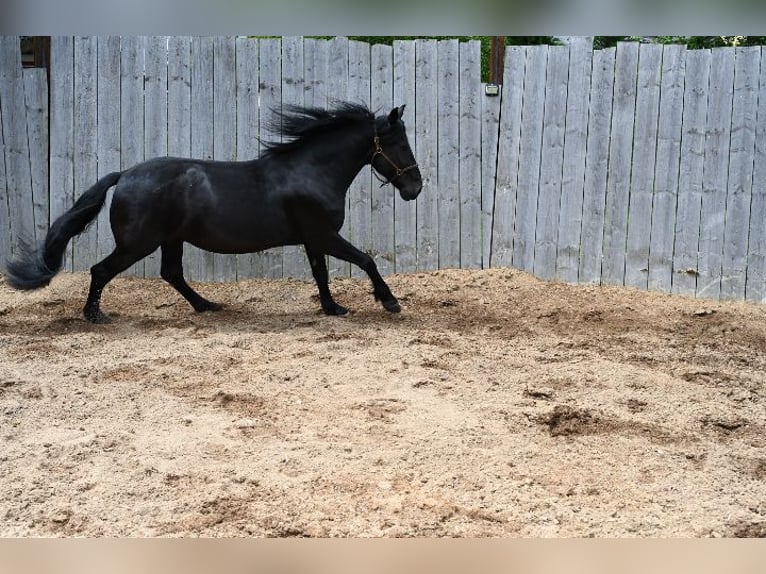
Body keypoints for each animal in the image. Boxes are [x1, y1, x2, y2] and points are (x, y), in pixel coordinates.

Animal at [4, 103, 420, 324]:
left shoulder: (313, 238)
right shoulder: (324, 235)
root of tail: (125, 175)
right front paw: (389, 302)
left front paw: (334, 308)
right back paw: (95, 316)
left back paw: (207, 305)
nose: (414, 188)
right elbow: (365, 260)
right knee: (101, 270)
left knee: (171, 273)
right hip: (139, 243)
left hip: (171, 239)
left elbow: (321, 274)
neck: (310, 172)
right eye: (400, 144)